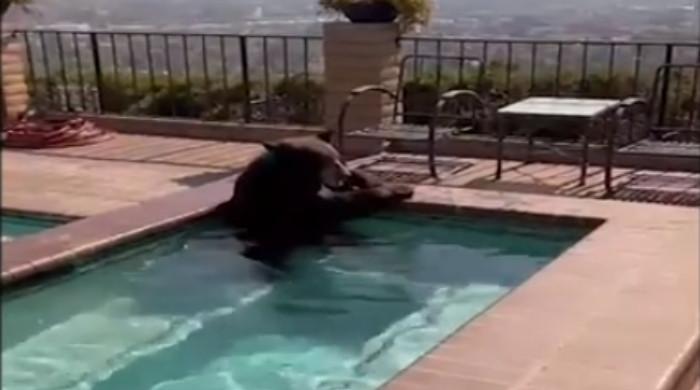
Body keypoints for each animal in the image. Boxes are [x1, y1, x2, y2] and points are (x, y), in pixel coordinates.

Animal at [213, 132, 410, 266]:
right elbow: (331, 206)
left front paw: (363, 177)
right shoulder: (282, 198)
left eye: (338, 159)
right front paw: (397, 189)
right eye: (326, 161)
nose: (344, 175)